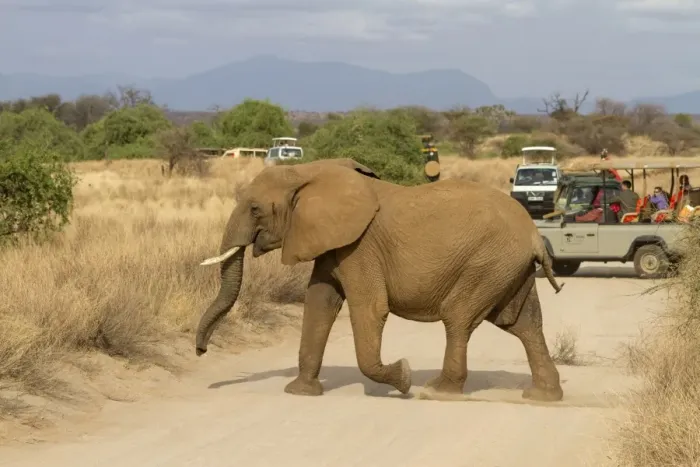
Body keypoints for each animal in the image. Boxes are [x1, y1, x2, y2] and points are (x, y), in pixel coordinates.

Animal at [195, 158, 565, 402]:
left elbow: (369, 309)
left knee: (459, 318)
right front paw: (300, 392)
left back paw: (437, 390)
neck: (309, 171)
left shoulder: (360, 248)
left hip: (487, 263)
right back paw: (542, 396)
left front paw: (402, 377)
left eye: (255, 209)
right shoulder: (333, 245)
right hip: (506, 268)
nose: (200, 350)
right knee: (524, 324)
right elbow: (318, 305)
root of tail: (535, 235)